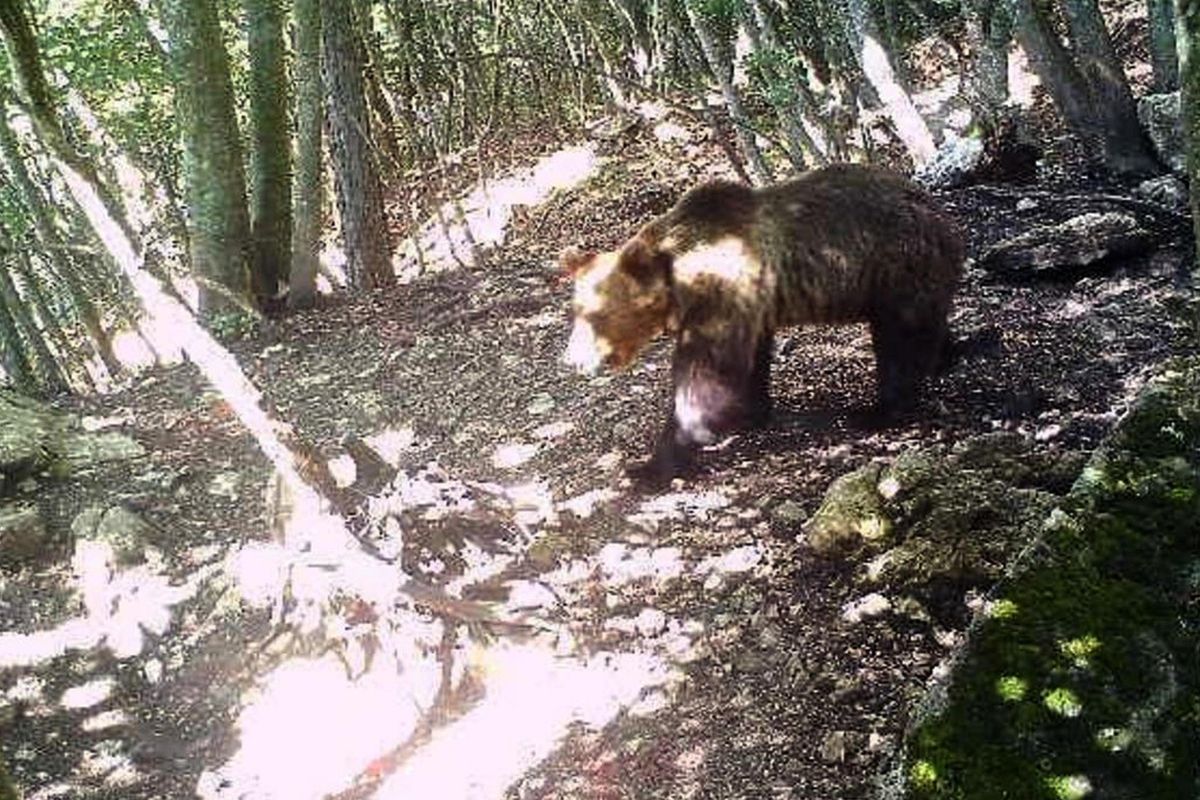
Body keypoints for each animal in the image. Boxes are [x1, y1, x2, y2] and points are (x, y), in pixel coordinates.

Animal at [562, 164, 965, 484]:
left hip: (893, 267)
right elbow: (749, 361)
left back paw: (877, 411)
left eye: (595, 314)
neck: (680, 282)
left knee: (901, 341)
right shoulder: (750, 306)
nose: (572, 360)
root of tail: (938, 210)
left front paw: (655, 462)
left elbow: (705, 374)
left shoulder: (720, 294)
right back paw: (949, 355)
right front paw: (749, 412)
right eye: (576, 310)